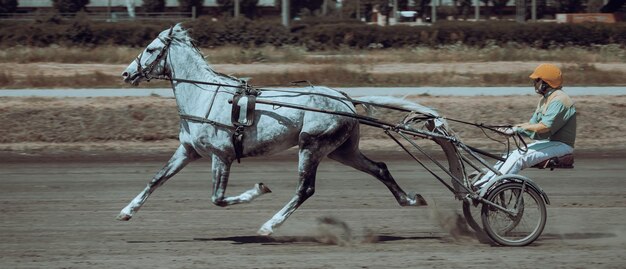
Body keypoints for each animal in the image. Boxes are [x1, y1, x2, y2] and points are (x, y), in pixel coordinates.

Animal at [118, 24, 458, 234]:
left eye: (151, 49)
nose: (126, 74)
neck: (205, 96)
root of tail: (344, 98)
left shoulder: (221, 155)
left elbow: (218, 198)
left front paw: (258, 189)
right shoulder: (188, 151)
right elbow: (156, 179)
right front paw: (126, 211)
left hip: (312, 145)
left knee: (305, 189)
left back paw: (270, 225)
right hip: (342, 151)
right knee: (380, 168)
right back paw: (410, 199)